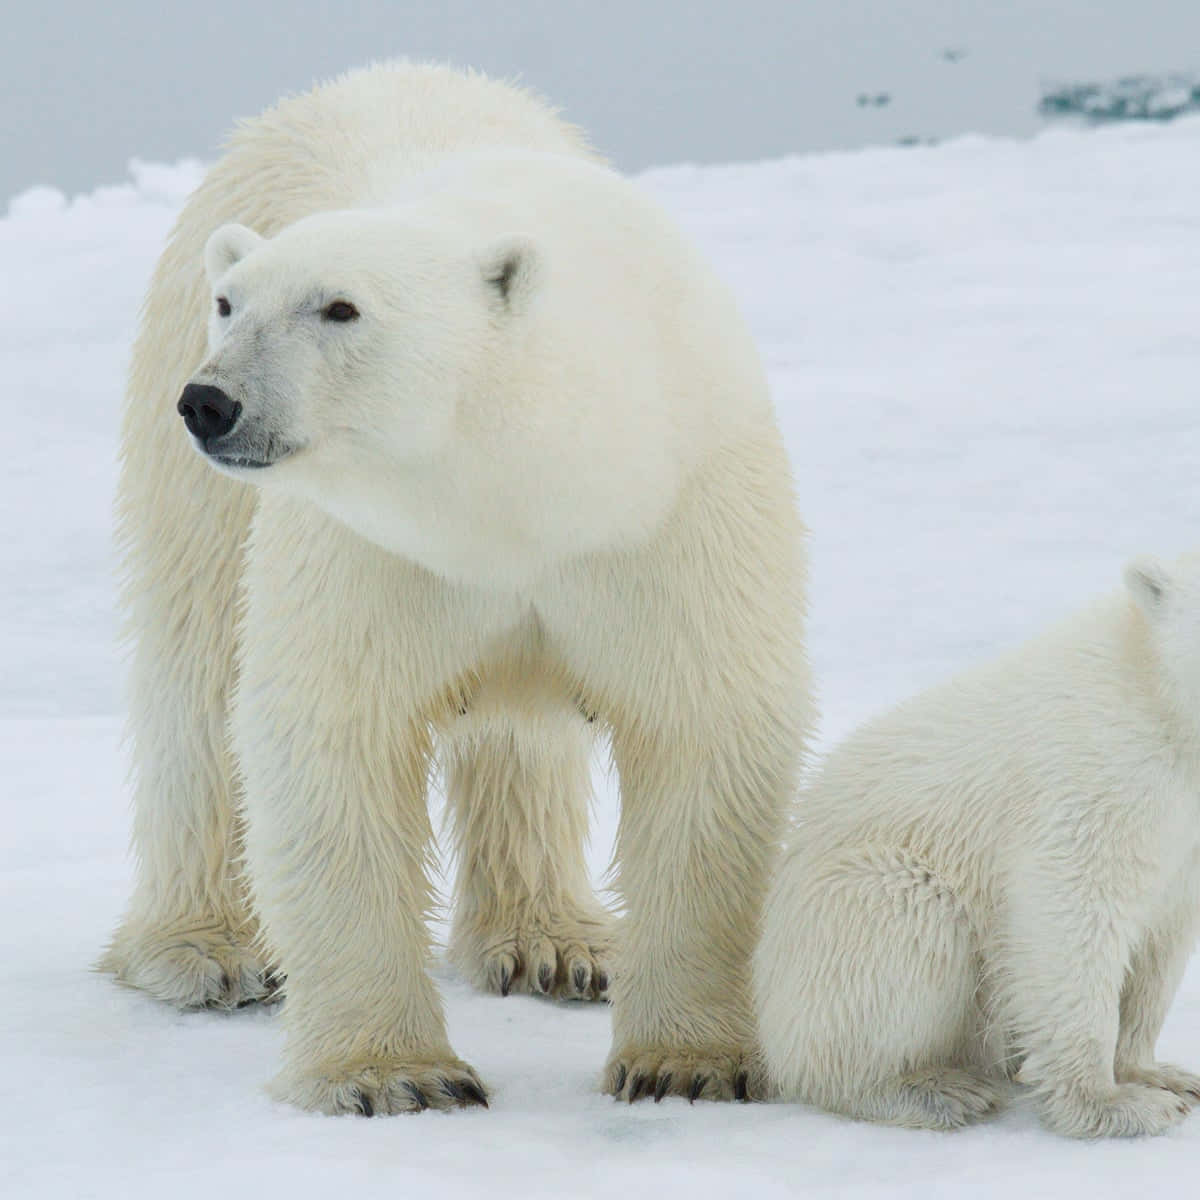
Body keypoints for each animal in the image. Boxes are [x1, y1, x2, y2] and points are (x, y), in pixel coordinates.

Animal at [101, 62, 811, 1116]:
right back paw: (206, 951)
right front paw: (394, 1075)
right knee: (196, 664)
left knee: (524, 746)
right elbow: (332, 735)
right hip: (189, 445)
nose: (212, 402)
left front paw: (684, 1063)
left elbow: (703, 728)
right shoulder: (369, 545)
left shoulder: (670, 508)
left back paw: (558, 943)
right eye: (232, 303)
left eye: (341, 307)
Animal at [754, 555, 1200, 1138]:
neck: (1166, 706)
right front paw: (1112, 1104)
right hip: (855, 899)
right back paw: (930, 1090)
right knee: (909, 927)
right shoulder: (1098, 773)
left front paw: (1161, 1076)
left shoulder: (1184, 835)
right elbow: (1070, 910)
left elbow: (1162, 942)